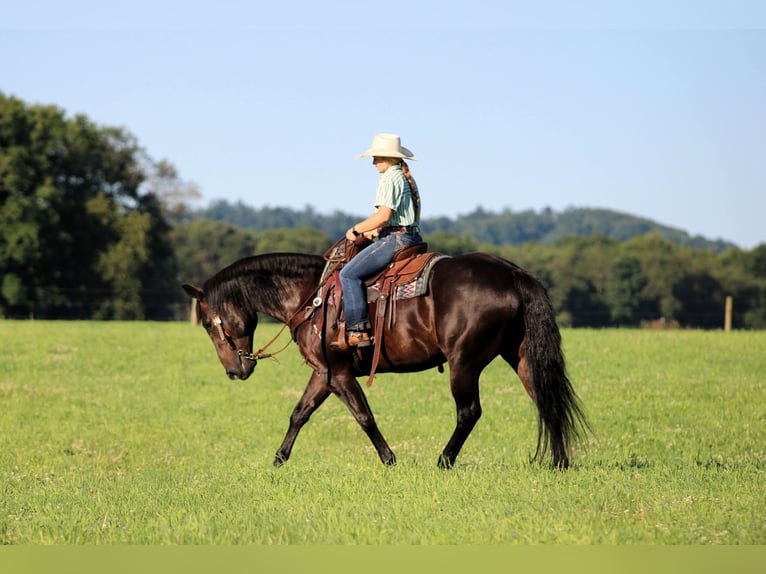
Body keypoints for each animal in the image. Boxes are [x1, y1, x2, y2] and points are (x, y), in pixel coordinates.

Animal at [182, 244, 588, 469]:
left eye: (209, 324)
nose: (235, 371)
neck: (310, 296)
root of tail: (511, 273)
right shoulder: (324, 373)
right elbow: (300, 413)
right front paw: (278, 460)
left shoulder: (338, 374)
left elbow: (363, 416)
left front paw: (389, 460)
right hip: (519, 355)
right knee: (546, 399)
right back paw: (560, 462)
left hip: (464, 363)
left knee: (469, 412)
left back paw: (443, 461)